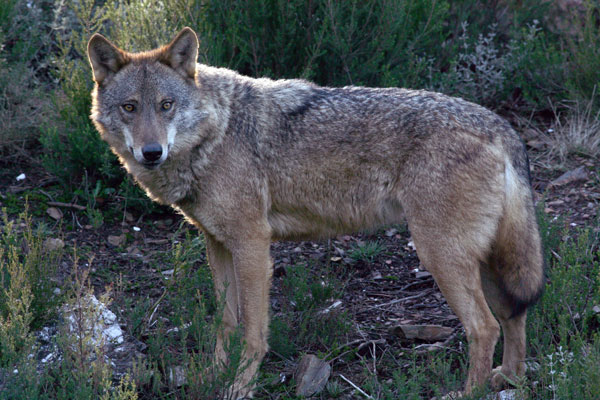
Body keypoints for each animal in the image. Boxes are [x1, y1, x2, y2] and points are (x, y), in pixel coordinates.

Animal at [88, 28, 544, 396]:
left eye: (166, 105)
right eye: (130, 107)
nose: (151, 152)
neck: (215, 133)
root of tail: (500, 127)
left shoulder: (253, 245)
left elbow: (253, 333)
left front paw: (239, 387)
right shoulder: (216, 244)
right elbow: (225, 323)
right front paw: (212, 377)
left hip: (440, 256)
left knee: (484, 327)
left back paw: (471, 391)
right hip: (484, 262)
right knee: (513, 313)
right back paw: (509, 377)